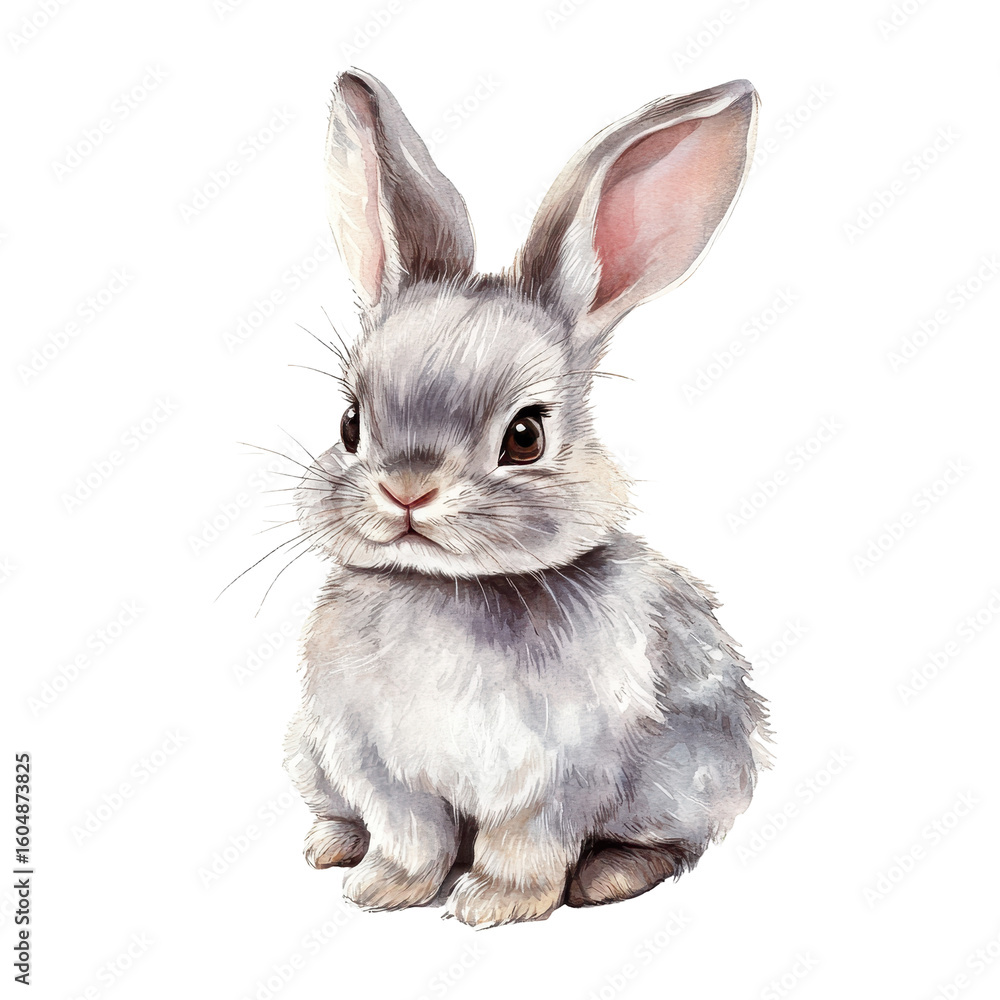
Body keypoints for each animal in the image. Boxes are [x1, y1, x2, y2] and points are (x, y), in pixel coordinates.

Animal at [282, 68, 771, 928]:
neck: (446, 590)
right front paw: (384, 889)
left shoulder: (563, 774)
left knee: (672, 844)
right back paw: (332, 845)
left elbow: (525, 841)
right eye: (349, 422)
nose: (407, 492)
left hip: (692, 775)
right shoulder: (375, 765)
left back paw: (610, 876)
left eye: (525, 436)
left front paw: (493, 906)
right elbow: (409, 832)